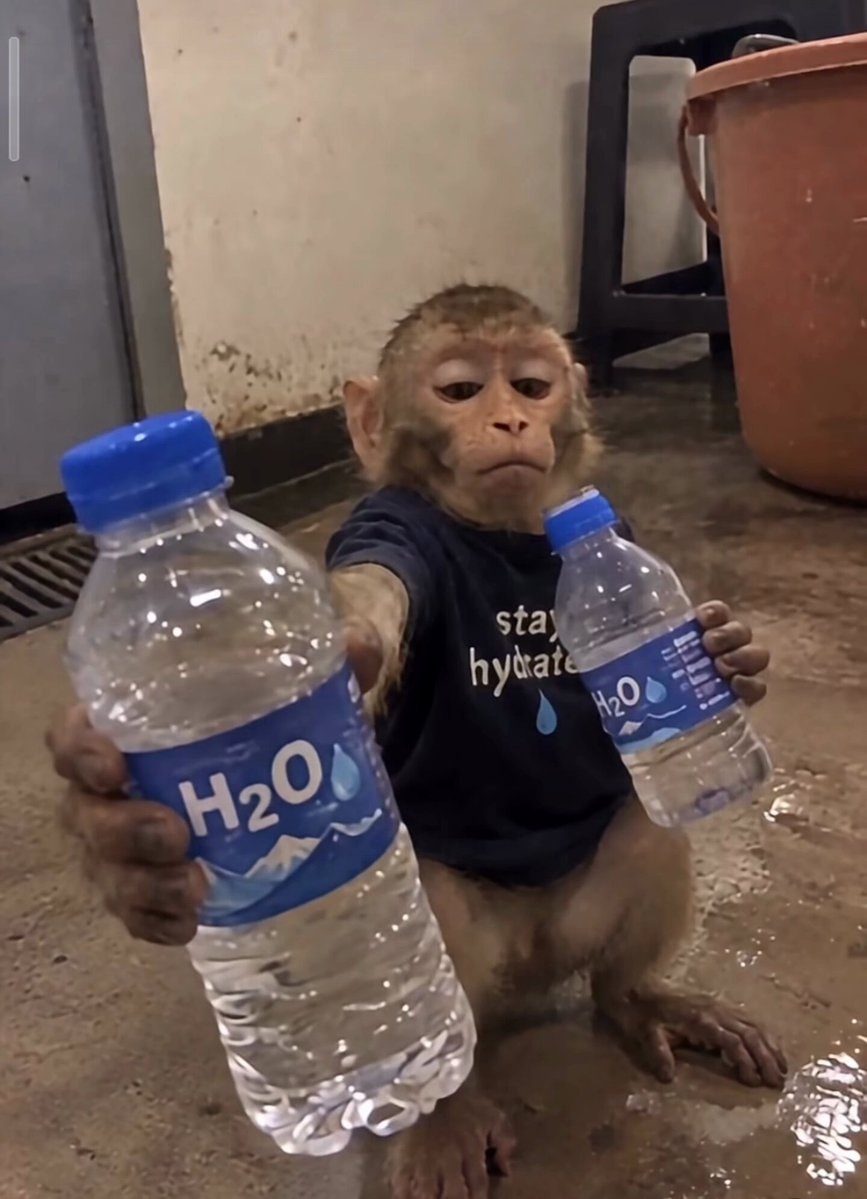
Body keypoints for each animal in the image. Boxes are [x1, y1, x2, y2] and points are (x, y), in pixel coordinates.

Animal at [49, 284, 785, 1199]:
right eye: (460, 391)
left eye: (531, 385)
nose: (510, 419)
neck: (506, 532)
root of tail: (532, 964)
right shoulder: (388, 531)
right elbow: (365, 620)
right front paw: (115, 827)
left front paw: (729, 653)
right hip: (468, 961)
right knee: (429, 904)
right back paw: (441, 1106)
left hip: (575, 924)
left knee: (647, 823)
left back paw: (638, 997)